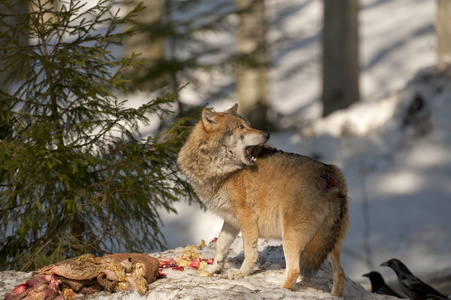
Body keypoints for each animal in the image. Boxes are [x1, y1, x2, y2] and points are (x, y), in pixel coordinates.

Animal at [178, 104, 352, 296]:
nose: (267, 134)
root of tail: (330, 176)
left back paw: (281, 290)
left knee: (294, 270)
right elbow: (220, 247)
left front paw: (240, 274)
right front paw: (212, 269)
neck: (221, 171)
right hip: (329, 243)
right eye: (241, 127)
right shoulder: (231, 221)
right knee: (340, 271)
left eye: (248, 125)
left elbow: (249, 252)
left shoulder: (246, 218)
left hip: (290, 237)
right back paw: (335, 295)